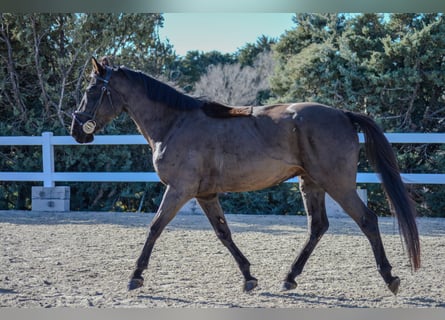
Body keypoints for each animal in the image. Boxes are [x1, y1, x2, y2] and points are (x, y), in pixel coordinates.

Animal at [71, 57, 418, 296]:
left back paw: (390, 278)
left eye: (92, 90)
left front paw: (136, 276)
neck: (174, 123)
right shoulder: (205, 194)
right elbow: (224, 234)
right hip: (312, 184)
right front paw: (249, 277)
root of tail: (342, 114)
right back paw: (289, 277)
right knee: (318, 227)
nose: (77, 130)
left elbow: (155, 227)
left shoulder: (180, 189)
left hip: (338, 184)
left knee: (367, 220)